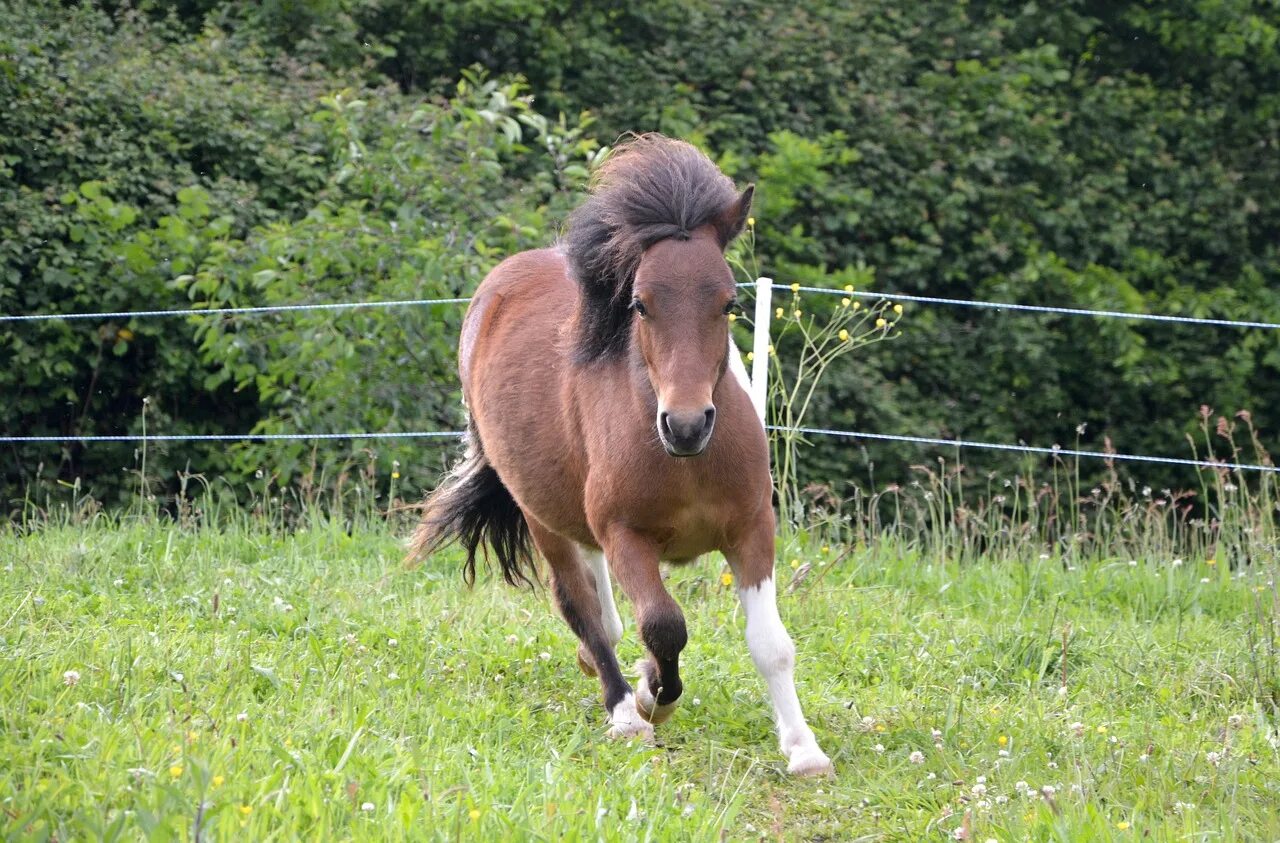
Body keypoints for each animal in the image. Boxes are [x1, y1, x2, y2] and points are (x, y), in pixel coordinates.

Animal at [407, 133, 829, 777]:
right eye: (641, 304)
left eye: (729, 304)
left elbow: (771, 645)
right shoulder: (628, 535)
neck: (687, 465)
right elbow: (663, 626)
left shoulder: (752, 529)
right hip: (540, 515)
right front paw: (655, 695)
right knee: (584, 609)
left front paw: (804, 749)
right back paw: (624, 710)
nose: (686, 424)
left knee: (599, 605)